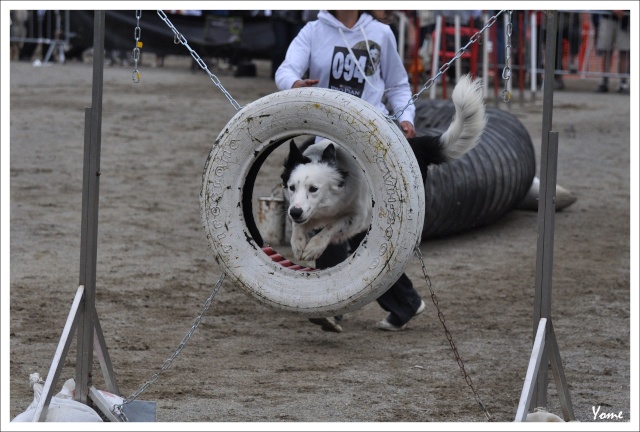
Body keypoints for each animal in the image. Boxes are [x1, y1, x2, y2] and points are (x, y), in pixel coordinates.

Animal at [280, 74, 484, 262]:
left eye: (314, 189)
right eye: (291, 187)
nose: (295, 212)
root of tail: (413, 144)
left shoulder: (357, 216)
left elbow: (333, 226)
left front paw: (314, 247)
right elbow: (299, 225)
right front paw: (298, 243)